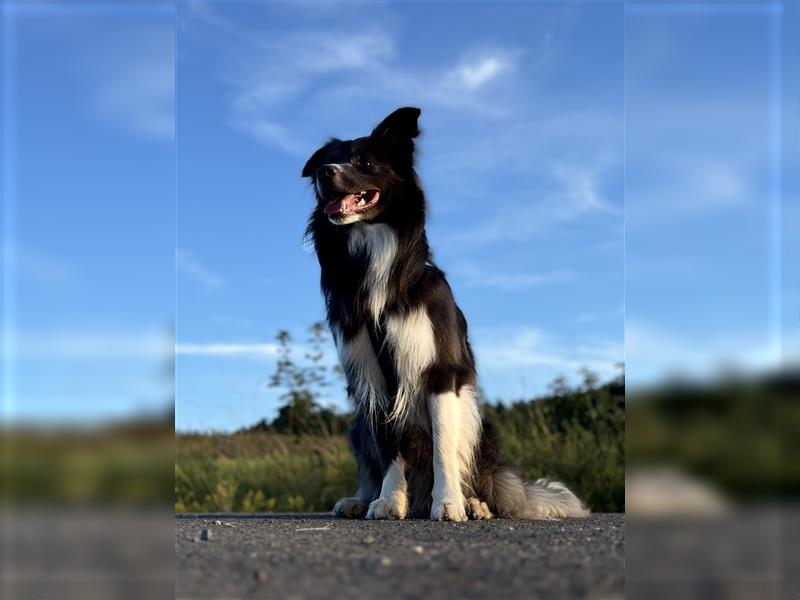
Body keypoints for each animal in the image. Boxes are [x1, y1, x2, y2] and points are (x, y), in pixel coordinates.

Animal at [304, 108, 584, 520]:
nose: (325, 173)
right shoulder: (375, 380)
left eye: (365, 163)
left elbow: (442, 449)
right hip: (358, 425)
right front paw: (388, 500)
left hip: (477, 423)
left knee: (477, 472)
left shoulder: (441, 373)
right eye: (328, 161)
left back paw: (475, 503)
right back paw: (361, 499)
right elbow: (390, 449)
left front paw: (449, 503)